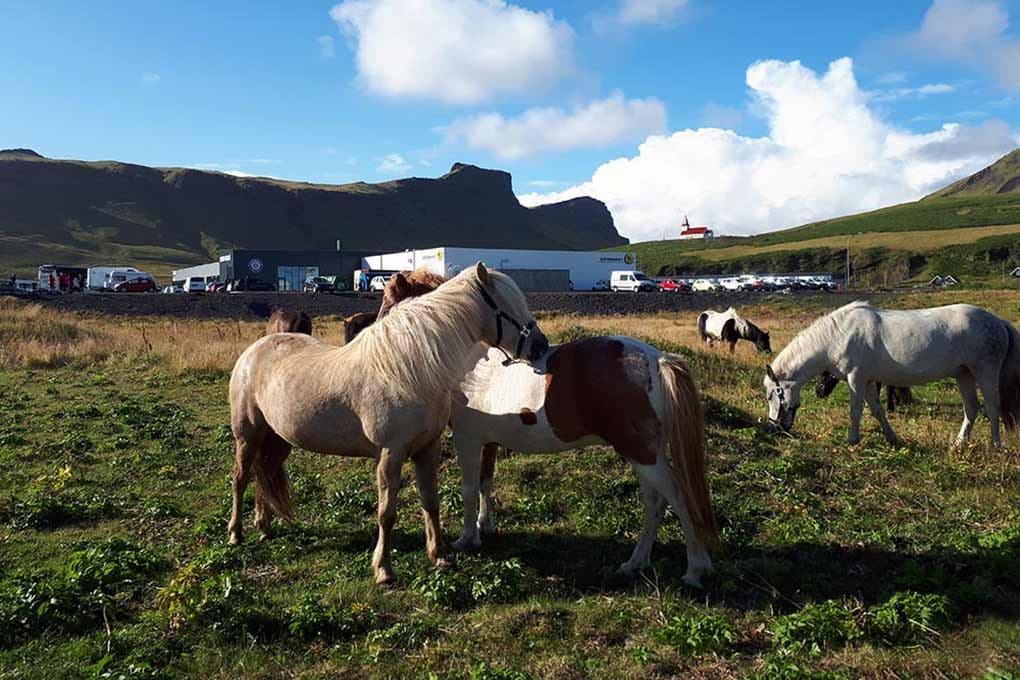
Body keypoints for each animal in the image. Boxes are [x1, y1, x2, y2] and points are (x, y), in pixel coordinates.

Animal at [227, 263, 549, 585]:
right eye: (509, 306)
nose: (540, 346)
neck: (409, 371)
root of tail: (254, 351)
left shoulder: (427, 450)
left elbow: (430, 501)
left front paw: (439, 555)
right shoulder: (389, 455)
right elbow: (386, 513)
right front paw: (383, 569)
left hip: (279, 439)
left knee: (264, 473)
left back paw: (264, 527)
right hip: (247, 435)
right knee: (241, 477)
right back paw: (235, 534)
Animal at [360, 269, 718, 587]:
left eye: (389, 298)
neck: (470, 364)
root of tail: (656, 359)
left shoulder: (467, 439)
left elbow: (469, 489)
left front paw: (467, 539)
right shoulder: (488, 441)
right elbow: (485, 483)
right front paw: (485, 526)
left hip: (642, 453)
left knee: (677, 497)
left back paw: (696, 569)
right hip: (642, 454)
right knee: (654, 502)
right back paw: (636, 562)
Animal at [764, 301, 1020, 448]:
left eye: (772, 395)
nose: (775, 428)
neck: (839, 334)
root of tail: (998, 322)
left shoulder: (856, 378)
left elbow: (855, 411)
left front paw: (852, 440)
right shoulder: (868, 381)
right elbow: (877, 411)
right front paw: (892, 437)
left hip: (986, 372)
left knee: (992, 408)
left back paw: (996, 446)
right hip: (963, 374)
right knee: (972, 409)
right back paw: (959, 444)